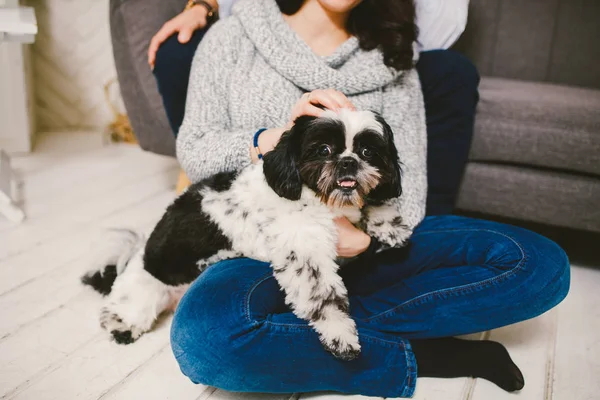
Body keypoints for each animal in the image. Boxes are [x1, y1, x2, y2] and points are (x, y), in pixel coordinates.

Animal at [83, 108, 412, 360]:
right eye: (324, 150)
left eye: (368, 151)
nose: (349, 162)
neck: (320, 200)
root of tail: (139, 252)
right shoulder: (304, 254)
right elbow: (325, 299)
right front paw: (340, 335)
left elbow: (373, 204)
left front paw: (389, 224)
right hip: (143, 291)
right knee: (125, 309)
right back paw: (122, 325)